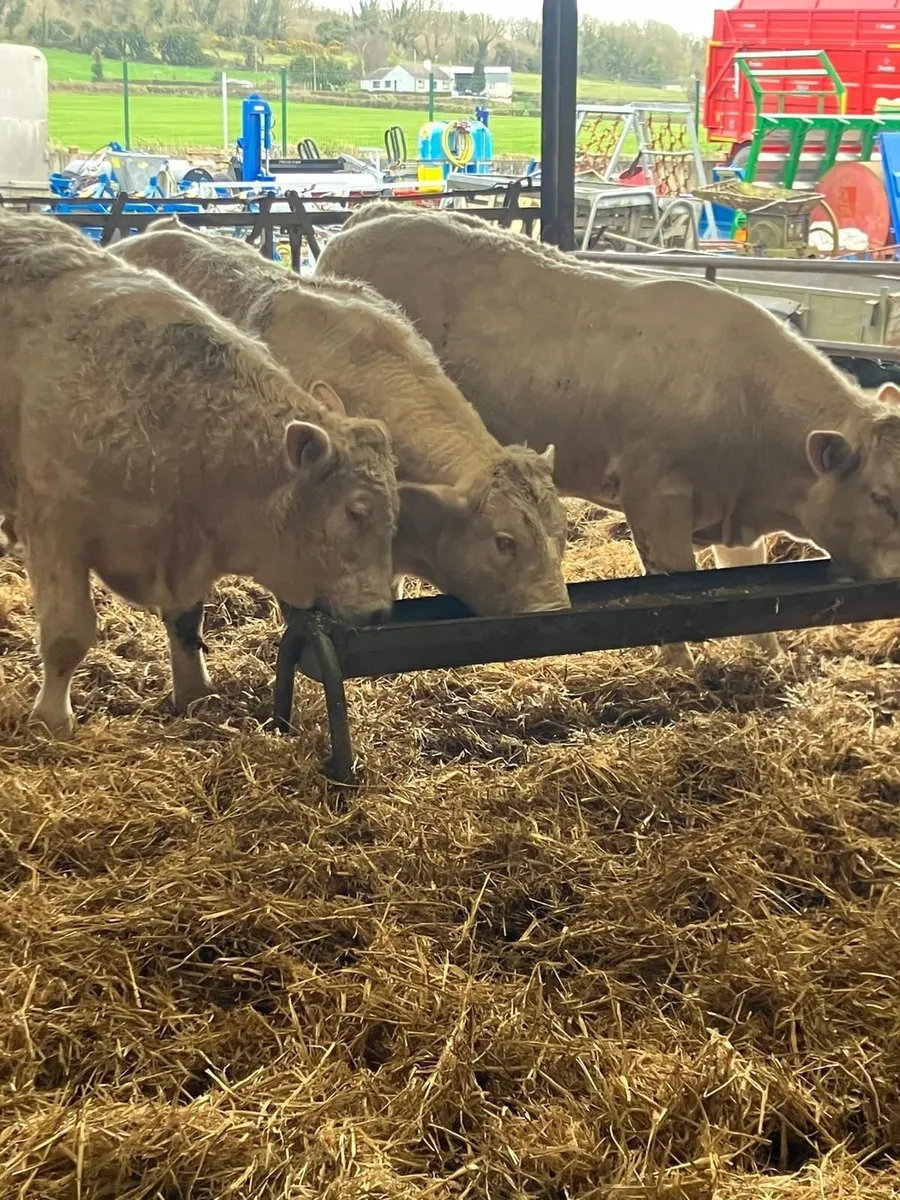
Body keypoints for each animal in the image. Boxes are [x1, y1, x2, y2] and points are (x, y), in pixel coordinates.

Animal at [0, 211, 400, 735]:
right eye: (355, 512)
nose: (378, 611)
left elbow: (187, 622)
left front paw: (195, 692)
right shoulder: (55, 529)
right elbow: (68, 633)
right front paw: (52, 720)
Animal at [318, 205, 900, 660]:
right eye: (879, 494)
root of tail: (370, 218)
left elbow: (742, 573)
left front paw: (770, 655)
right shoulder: (657, 498)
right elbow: (670, 592)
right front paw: (679, 667)